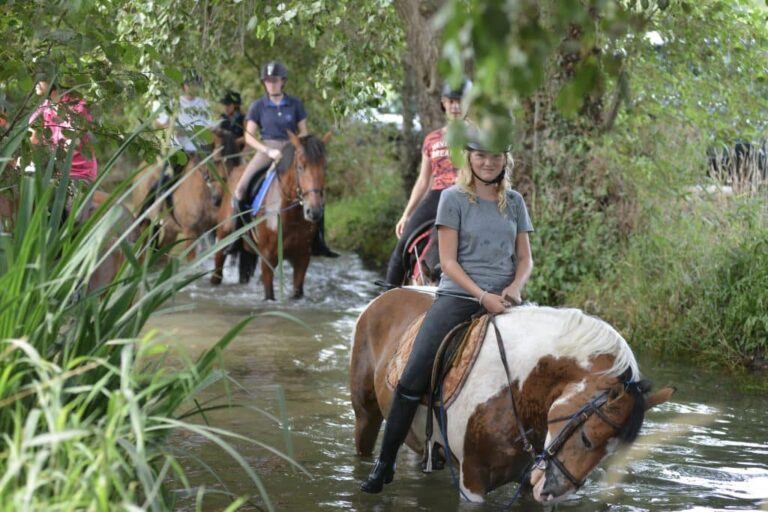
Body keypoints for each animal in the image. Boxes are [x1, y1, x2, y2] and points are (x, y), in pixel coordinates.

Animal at [212, 131, 332, 300]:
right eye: (300, 167)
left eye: (325, 167)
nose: (314, 211)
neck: (292, 216)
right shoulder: (268, 258)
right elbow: (269, 294)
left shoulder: (302, 259)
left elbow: (297, 292)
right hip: (223, 238)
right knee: (217, 269)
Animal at [352, 288, 676, 504]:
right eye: (587, 439)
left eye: (612, 453)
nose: (551, 494)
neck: (517, 391)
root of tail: (387, 295)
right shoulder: (472, 482)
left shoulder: (525, 488)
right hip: (366, 414)